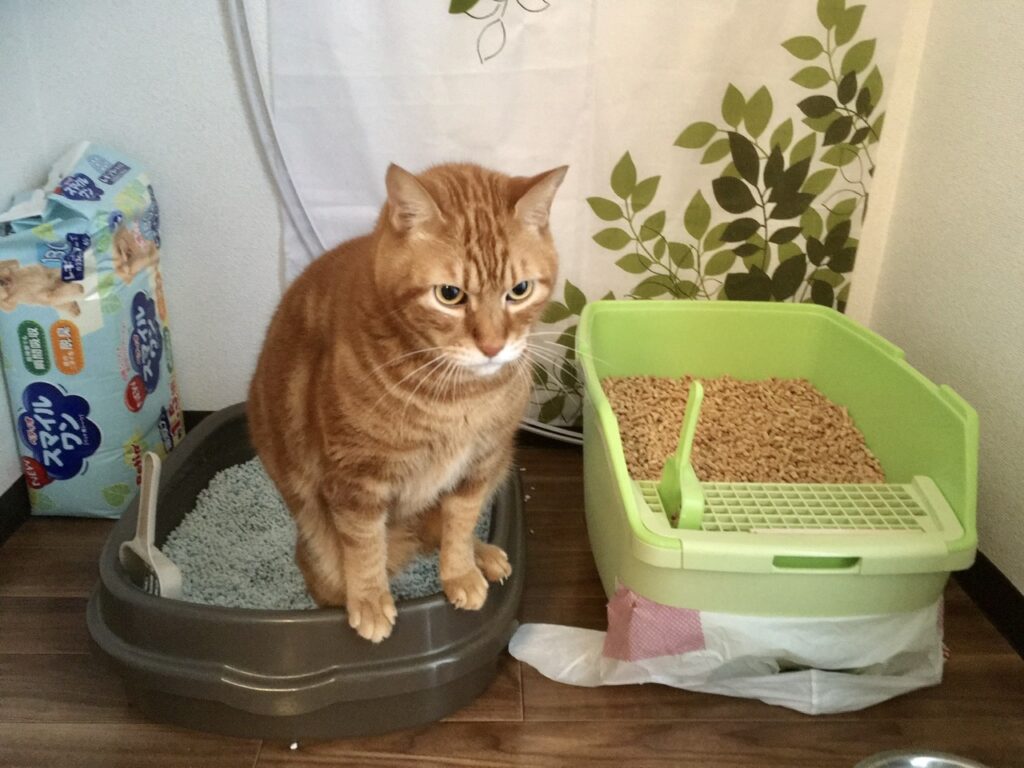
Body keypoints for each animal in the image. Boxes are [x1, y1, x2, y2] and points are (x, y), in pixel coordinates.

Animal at [248, 161, 567, 642]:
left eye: (520, 290)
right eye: (450, 295)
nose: (493, 346)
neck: (458, 396)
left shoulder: (479, 465)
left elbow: (459, 524)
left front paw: (460, 572)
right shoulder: (356, 480)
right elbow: (363, 546)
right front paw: (370, 600)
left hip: (500, 466)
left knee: (436, 531)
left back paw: (484, 555)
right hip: (319, 552)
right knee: (335, 575)